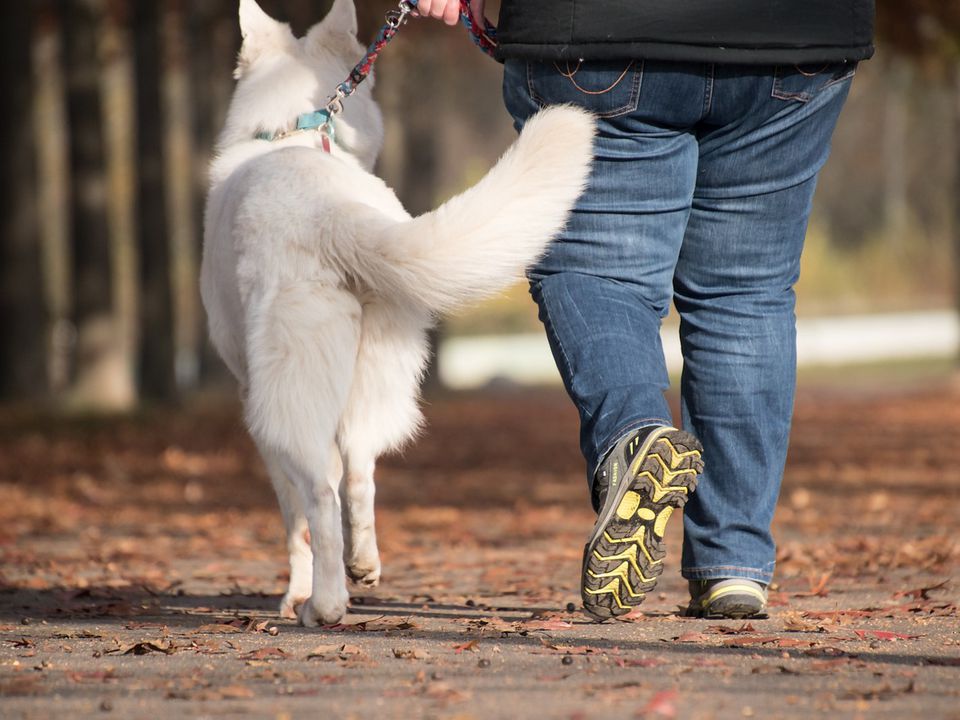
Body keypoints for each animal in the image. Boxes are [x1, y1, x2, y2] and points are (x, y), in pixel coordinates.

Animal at [202, 0, 592, 624]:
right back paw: (362, 566)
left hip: (286, 396)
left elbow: (293, 521)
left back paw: (323, 605)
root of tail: (330, 213)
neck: (294, 133)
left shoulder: (251, 399)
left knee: (320, 494)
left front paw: (293, 593)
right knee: (360, 470)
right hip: (378, 370)